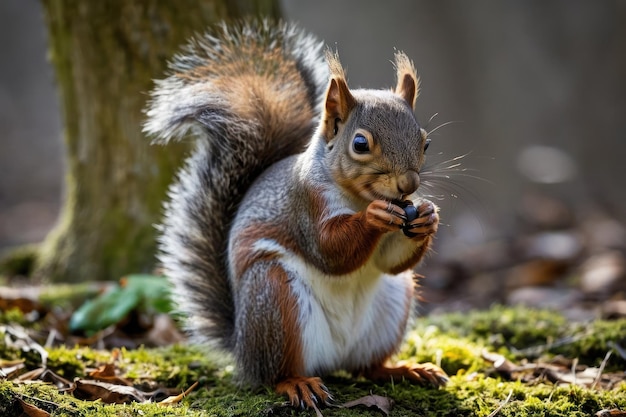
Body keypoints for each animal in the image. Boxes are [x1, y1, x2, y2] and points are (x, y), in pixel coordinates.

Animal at [144, 21, 446, 408]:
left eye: (425, 142)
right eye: (360, 144)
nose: (409, 185)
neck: (359, 197)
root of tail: (242, 349)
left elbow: (389, 261)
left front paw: (428, 217)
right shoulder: (306, 203)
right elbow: (329, 250)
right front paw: (373, 218)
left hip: (392, 304)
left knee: (366, 367)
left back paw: (404, 369)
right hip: (274, 298)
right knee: (275, 373)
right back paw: (297, 384)